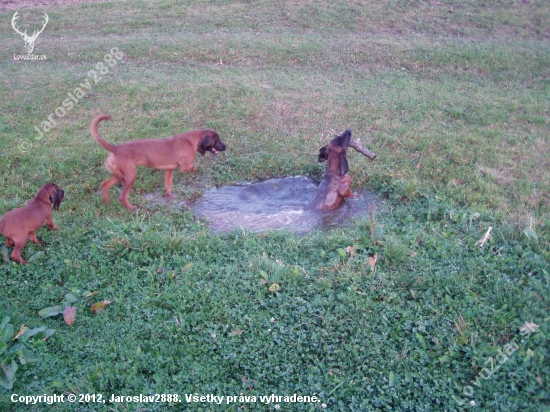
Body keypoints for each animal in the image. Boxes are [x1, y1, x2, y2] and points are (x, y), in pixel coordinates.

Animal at [91, 114, 227, 209]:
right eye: (217, 140)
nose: (225, 147)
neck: (190, 140)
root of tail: (115, 148)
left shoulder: (169, 170)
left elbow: (168, 185)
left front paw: (169, 196)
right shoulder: (184, 167)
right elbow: (193, 167)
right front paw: (195, 170)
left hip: (119, 176)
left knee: (104, 185)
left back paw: (105, 201)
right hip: (130, 177)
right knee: (122, 197)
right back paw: (131, 208)